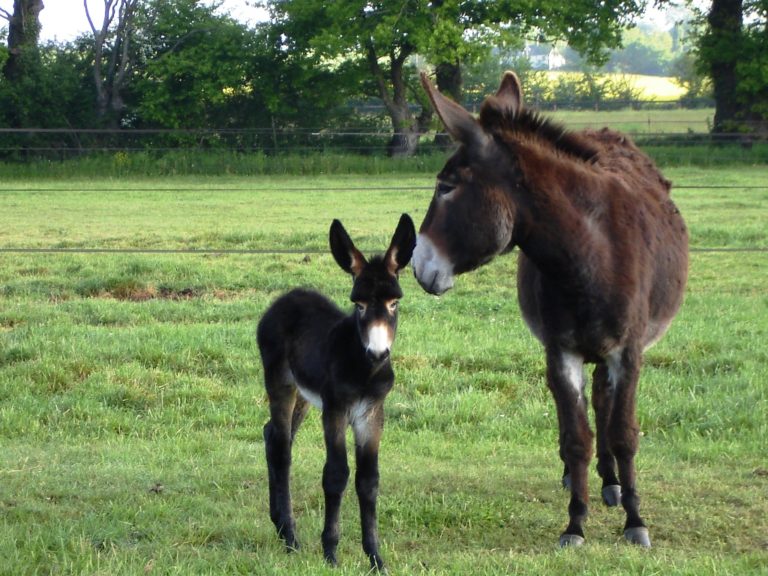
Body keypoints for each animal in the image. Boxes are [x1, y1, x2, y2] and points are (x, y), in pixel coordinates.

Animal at [258, 214, 414, 568]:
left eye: (394, 303)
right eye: (358, 304)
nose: (378, 354)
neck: (364, 371)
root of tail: (287, 298)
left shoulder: (372, 413)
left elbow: (368, 480)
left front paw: (375, 557)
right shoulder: (336, 409)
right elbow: (336, 474)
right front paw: (330, 551)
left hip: (304, 394)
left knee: (271, 434)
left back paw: (280, 526)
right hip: (280, 382)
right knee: (282, 447)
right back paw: (290, 536)